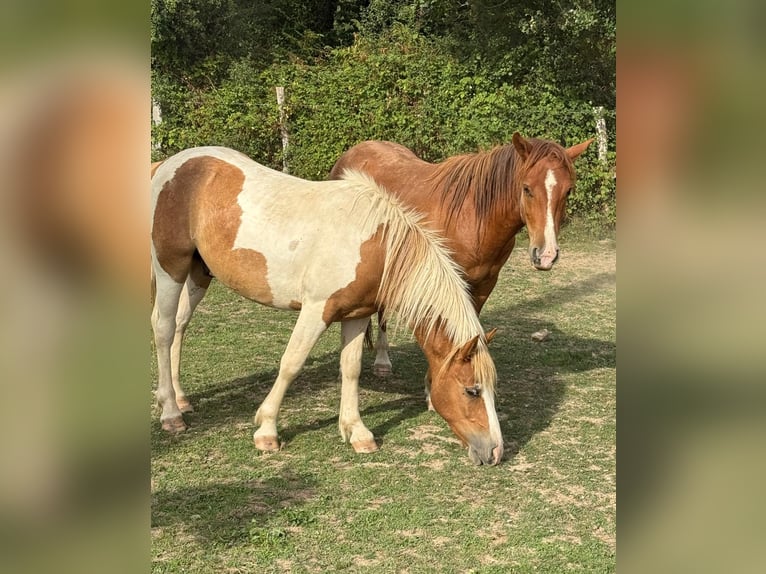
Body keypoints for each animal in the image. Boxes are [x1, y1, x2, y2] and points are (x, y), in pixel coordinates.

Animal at [151, 146, 504, 465]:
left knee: (180, 323)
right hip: (171, 268)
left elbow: (351, 368)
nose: (495, 452)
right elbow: (291, 363)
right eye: (472, 390)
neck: (375, 245)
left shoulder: (357, 315)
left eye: (491, 388)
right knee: (164, 328)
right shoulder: (316, 310)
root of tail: (169, 165)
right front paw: (267, 430)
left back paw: (181, 399)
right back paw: (171, 413)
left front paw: (357, 432)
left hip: (199, 273)